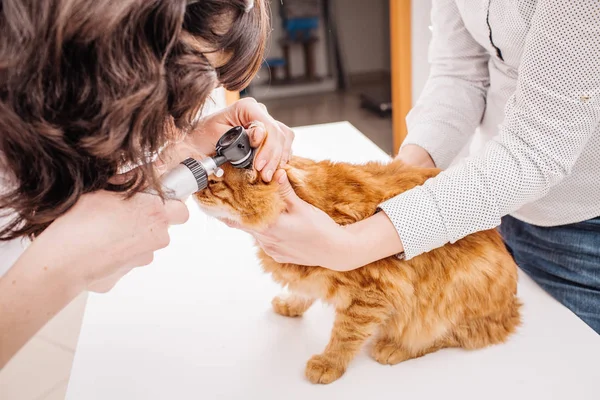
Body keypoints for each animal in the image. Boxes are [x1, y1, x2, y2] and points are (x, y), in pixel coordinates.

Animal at [193, 156, 520, 384]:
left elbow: (345, 336)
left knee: (451, 334)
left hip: (451, 297)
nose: (195, 192)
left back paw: (395, 347)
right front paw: (290, 304)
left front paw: (328, 364)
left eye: (214, 181)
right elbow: (305, 291)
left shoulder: (372, 292)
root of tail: (513, 306)